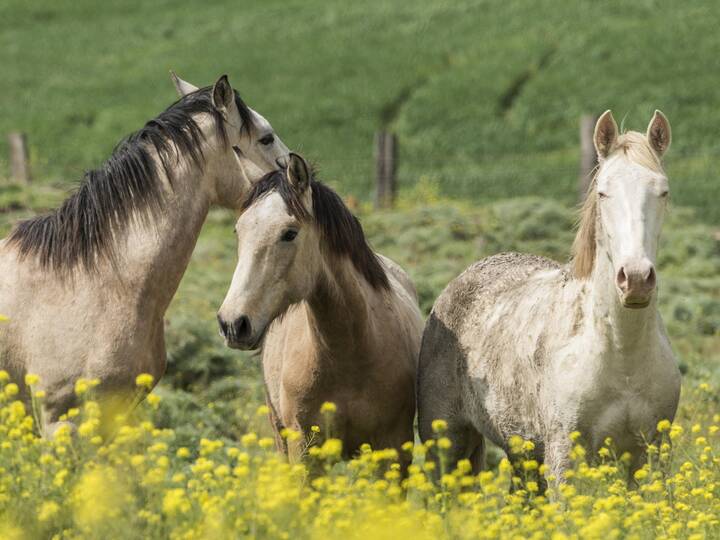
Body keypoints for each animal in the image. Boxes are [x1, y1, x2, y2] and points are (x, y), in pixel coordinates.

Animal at [217, 153, 424, 468]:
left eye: (289, 233)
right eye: (238, 230)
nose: (232, 323)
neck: (353, 352)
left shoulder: (395, 447)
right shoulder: (305, 450)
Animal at [416, 109, 680, 480]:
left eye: (662, 192)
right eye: (603, 193)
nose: (636, 278)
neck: (621, 354)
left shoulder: (651, 454)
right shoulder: (564, 454)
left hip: (522, 451)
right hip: (446, 441)